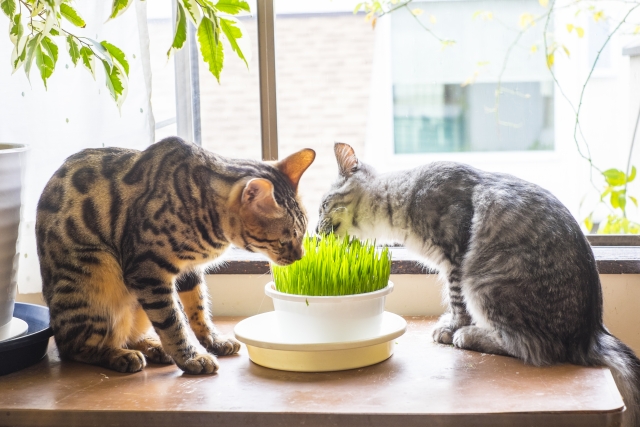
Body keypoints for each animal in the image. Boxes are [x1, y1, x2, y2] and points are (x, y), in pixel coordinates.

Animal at [35, 137, 316, 374]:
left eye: (303, 234)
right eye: (283, 241)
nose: (300, 257)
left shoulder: (189, 271)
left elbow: (198, 308)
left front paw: (213, 340)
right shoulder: (148, 271)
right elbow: (172, 321)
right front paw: (191, 357)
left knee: (128, 335)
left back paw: (153, 347)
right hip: (95, 277)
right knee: (75, 347)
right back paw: (120, 354)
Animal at [318, 144, 640, 427]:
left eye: (322, 205)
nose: (316, 233)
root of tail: (591, 332)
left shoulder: (455, 259)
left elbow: (456, 303)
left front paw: (451, 328)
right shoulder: (452, 264)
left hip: (486, 282)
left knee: (532, 347)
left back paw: (471, 336)